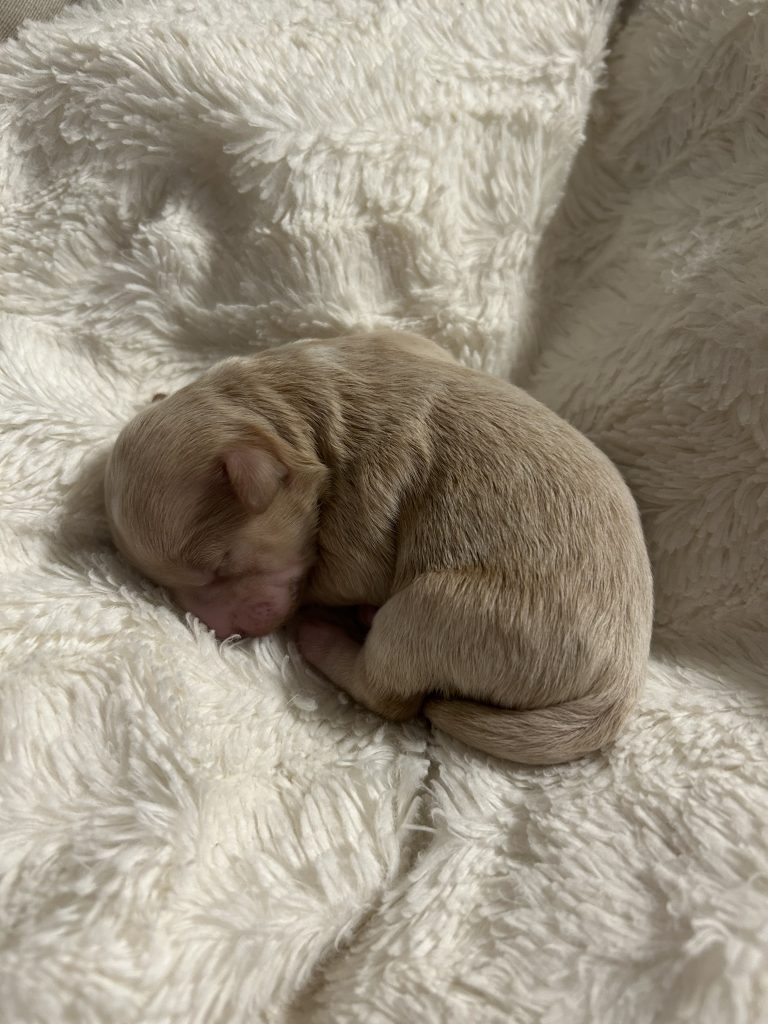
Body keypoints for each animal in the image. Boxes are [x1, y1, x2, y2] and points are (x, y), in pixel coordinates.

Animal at [104, 331, 653, 764]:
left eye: (222, 566)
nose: (221, 631)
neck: (283, 406)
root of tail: (619, 686)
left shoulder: (363, 516)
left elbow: (339, 576)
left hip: (440, 611)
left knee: (391, 694)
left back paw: (322, 636)